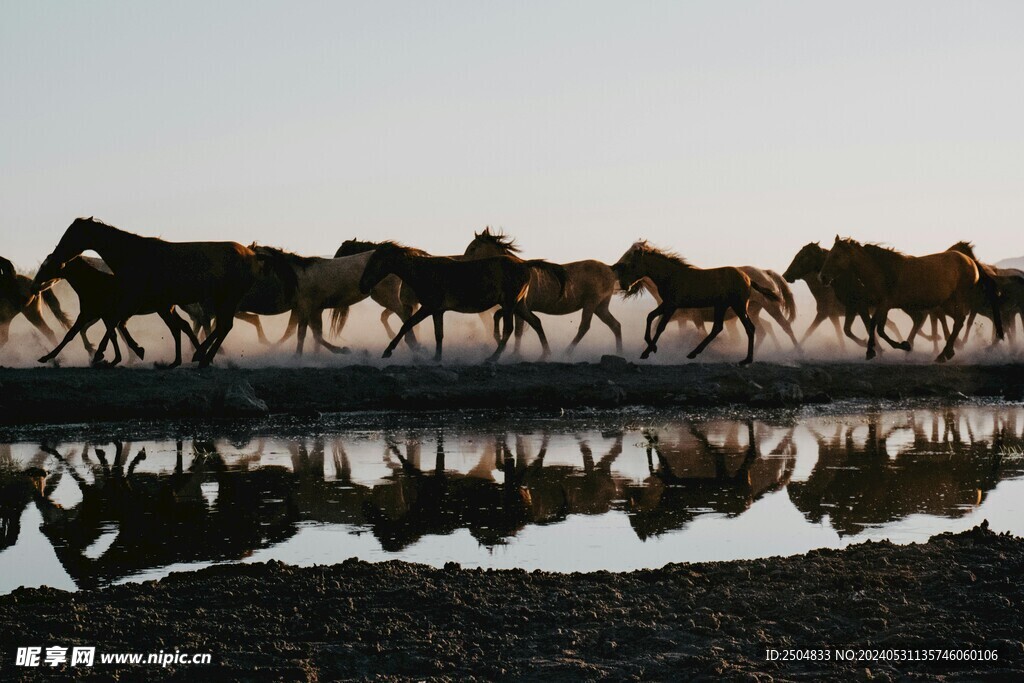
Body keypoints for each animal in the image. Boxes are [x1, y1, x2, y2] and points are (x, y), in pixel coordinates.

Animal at [33, 217, 290, 367]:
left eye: (72, 234)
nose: (56, 255)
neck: (132, 254)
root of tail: (252, 254)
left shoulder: (132, 298)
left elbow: (114, 323)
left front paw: (104, 354)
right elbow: (115, 324)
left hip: (228, 297)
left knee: (222, 326)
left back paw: (203, 357)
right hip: (221, 299)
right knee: (220, 326)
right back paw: (201, 355)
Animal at [358, 242, 566, 362]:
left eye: (375, 260)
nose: (362, 285)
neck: (424, 272)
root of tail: (525, 263)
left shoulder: (429, 307)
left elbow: (407, 325)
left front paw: (388, 351)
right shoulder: (437, 310)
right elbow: (438, 334)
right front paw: (436, 358)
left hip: (509, 304)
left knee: (509, 328)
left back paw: (492, 358)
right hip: (518, 304)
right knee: (535, 322)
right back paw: (545, 354)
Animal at [462, 228, 623, 354]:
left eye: (473, 247)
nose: (463, 263)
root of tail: (610, 268)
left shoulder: (518, 308)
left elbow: (518, 332)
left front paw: (515, 354)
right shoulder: (514, 307)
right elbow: (500, 318)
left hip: (591, 304)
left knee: (584, 327)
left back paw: (566, 353)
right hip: (600, 307)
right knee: (615, 325)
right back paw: (619, 353)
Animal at [612, 241, 778, 365]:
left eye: (633, 265)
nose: (624, 285)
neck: (670, 275)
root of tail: (748, 278)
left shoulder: (672, 305)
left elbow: (660, 327)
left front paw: (649, 350)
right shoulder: (667, 304)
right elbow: (650, 317)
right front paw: (648, 350)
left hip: (738, 305)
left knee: (749, 328)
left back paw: (746, 360)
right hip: (722, 306)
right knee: (718, 328)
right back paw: (693, 353)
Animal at [818, 236, 1003, 362]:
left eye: (836, 255)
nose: (823, 277)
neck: (883, 272)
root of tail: (970, 261)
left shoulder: (885, 304)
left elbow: (879, 328)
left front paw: (903, 345)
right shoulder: (881, 305)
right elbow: (874, 325)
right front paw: (872, 351)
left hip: (957, 298)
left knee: (958, 321)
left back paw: (943, 354)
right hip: (948, 301)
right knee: (958, 321)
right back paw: (948, 351)